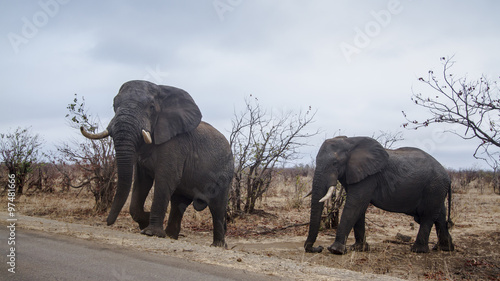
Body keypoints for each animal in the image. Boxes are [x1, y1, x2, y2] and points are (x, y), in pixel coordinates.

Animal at [81, 80, 234, 246]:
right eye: (114, 105)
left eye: (151, 107)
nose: (108, 222)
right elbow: (141, 182)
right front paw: (145, 221)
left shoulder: (176, 144)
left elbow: (165, 178)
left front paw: (150, 232)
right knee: (178, 203)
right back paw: (171, 236)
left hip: (225, 175)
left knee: (217, 208)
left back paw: (217, 245)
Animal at [302, 136, 456, 254]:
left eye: (335, 163)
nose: (318, 248)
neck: (350, 142)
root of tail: (448, 178)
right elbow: (359, 208)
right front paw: (359, 249)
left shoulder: (370, 177)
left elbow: (355, 204)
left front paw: (335, 250)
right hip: (436, 190)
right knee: (440, 215)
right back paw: (444, 248)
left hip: (434, 187)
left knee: (428, 216)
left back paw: (418, 250)